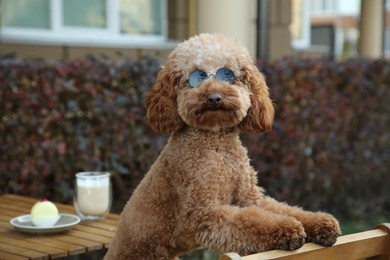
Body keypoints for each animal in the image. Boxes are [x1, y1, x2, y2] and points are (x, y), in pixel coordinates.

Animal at [104, 33, 342, 258]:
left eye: (227, 74)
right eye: (196, 76)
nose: (214, 98)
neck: (217, 145)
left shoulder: (250, 197)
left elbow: (285, 209)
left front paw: (320, 223)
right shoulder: (202, 213)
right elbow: (249, 221)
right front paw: (287, 229)